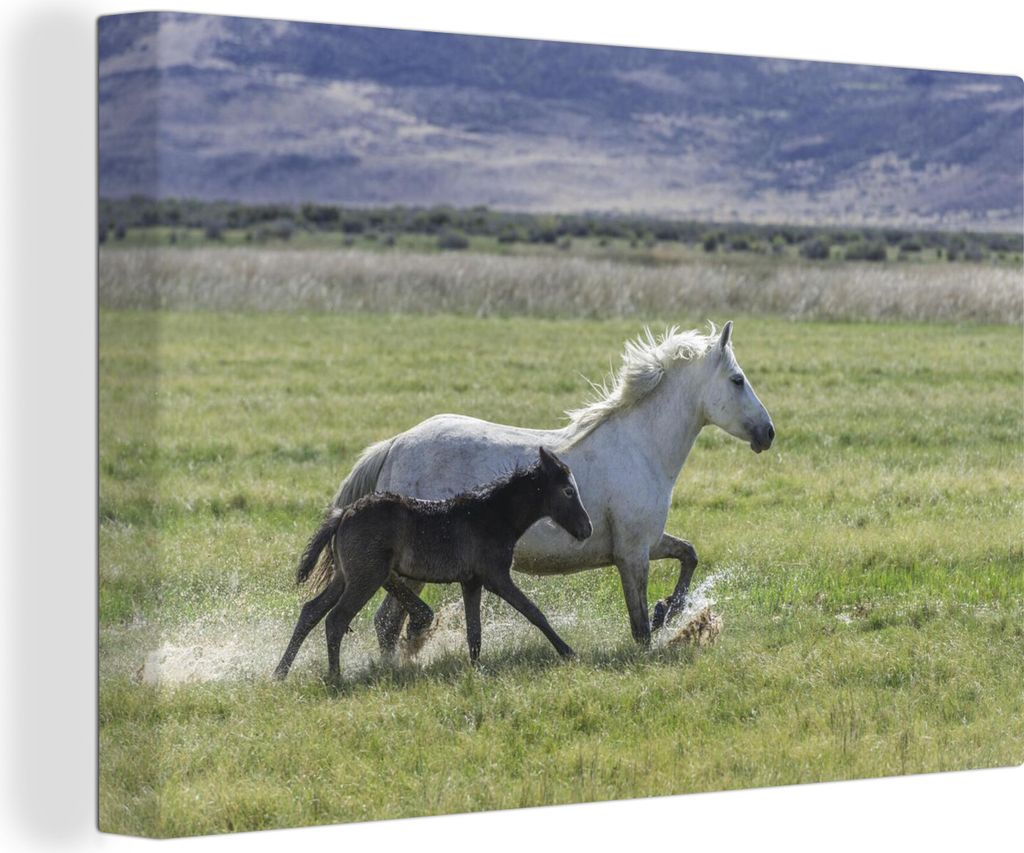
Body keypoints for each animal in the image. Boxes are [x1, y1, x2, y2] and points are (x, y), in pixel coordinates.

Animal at [273, 447, 592, 680]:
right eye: (568, 491)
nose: (586, 529)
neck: (494, 514)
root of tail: (343, 514)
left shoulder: (472, 581)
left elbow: (474, 630)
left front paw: (475, 668)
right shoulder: (496, 577)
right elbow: (533, 612)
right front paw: (567, 651)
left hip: (345, 576)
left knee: (311, 611)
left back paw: (280, 672)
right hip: (366, 577)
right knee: (336, 619)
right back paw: (334, 677)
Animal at [332, 320, 774, 652]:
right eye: (737, 380)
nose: (768, 433)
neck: (641, 448)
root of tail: (396, 444)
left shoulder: (647, 541)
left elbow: (689, 555)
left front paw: (669, 609)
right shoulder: (632, 554)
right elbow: (639, 627)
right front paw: (658, 625)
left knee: (390, 622)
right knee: (388, 622)